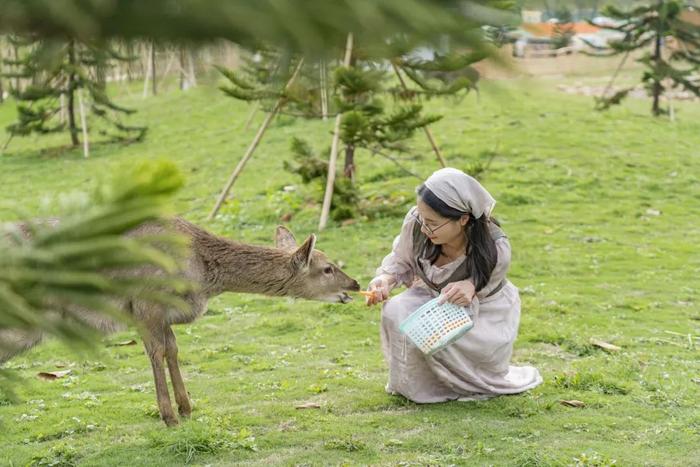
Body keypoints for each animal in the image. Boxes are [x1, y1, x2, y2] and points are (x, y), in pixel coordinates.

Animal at [1, 218, 360, 426]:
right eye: (327, 268)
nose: (355, 284)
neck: (200, 275)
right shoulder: (144, 303)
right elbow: (156, 352)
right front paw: (169, 416)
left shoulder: (165, 314)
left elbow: (172, 349)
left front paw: (187, 408)